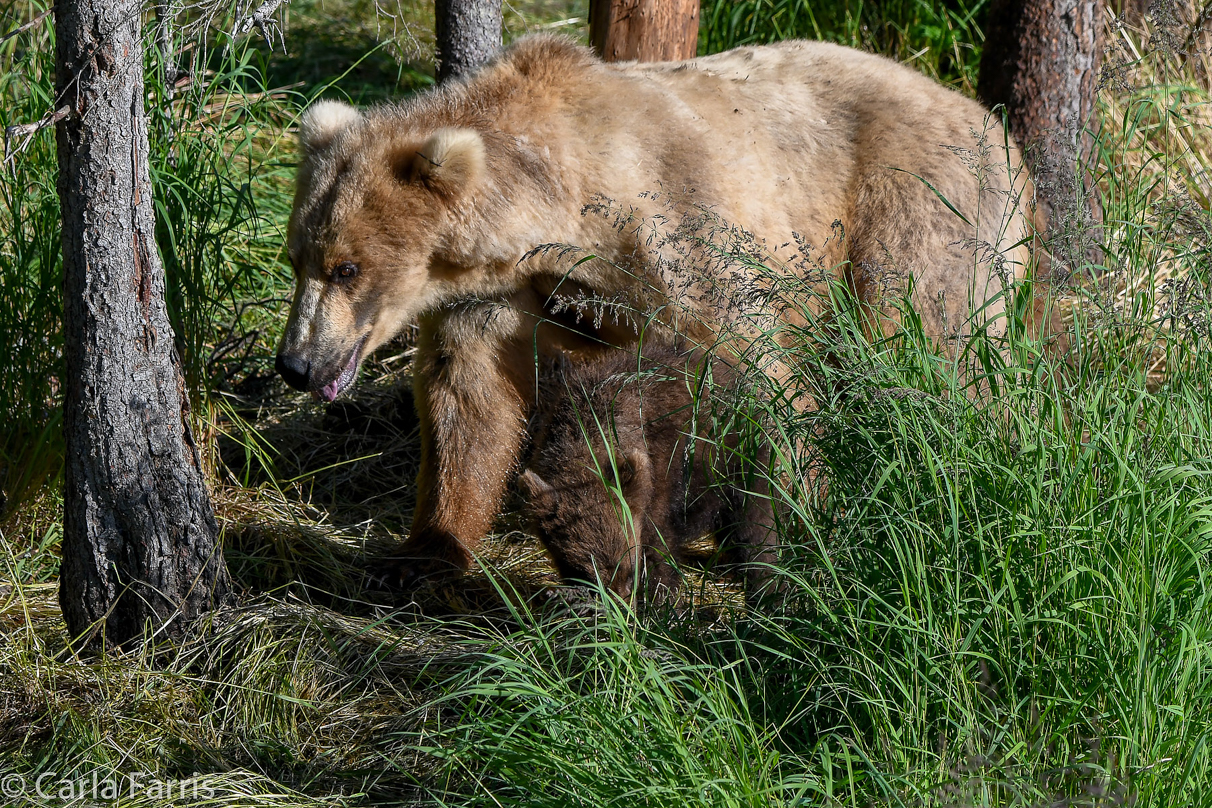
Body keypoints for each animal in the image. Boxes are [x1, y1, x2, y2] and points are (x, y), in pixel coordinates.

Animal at [516, 339, 770, 600]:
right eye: (585, 572)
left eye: (628, 569)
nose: (621, 600)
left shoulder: (661, 470)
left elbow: (658, 544)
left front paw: (661, 598)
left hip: (736, 457)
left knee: (754, 524)